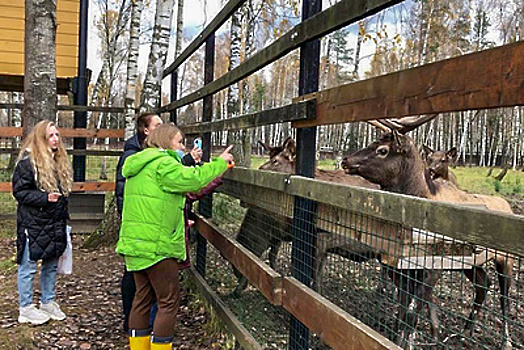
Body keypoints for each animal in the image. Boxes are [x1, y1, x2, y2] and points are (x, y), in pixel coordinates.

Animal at [342, 130, 512, 348]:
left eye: (383, 150)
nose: (345, 160)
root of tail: (509, 206)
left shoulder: (433, 268)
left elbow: (412, 314)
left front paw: (407, 342)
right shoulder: (402, 268)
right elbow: (402, 310)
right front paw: (397, 338)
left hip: (505, 260)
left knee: (504, 298)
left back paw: (505, 340)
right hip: (470, 264)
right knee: (484, 284)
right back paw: (465, 331)